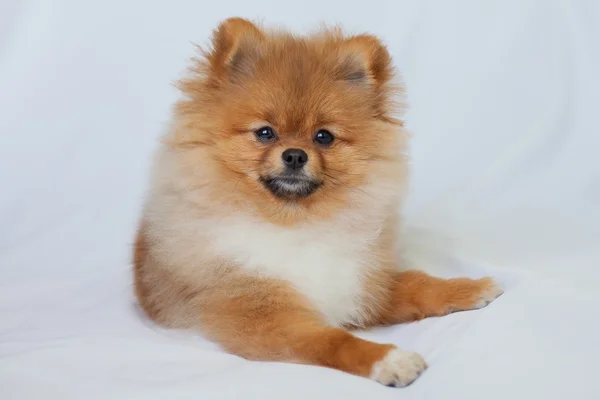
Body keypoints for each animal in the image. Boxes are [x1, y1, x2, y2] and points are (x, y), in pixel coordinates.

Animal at [135, 17, 502, 386]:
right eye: (265, 133)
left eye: (324, 137)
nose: (295, 155)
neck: (296, 222)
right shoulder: (263, 315)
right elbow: (333, 340)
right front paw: (389, 360)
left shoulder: (365, 286)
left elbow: (417, 284)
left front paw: (468, 288)